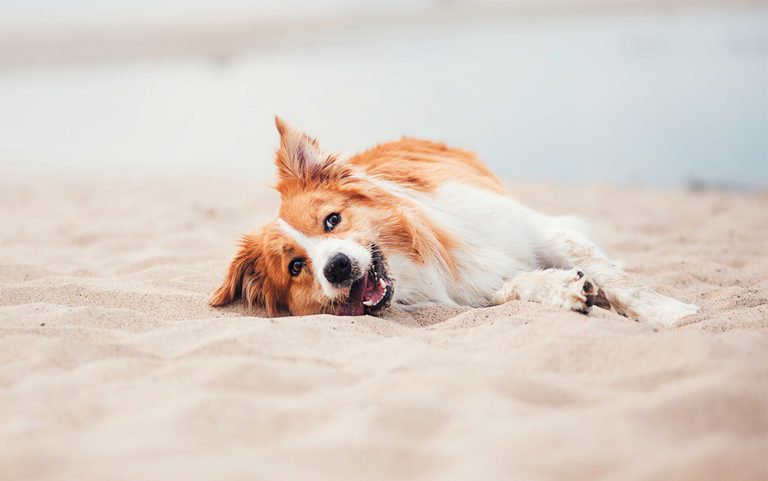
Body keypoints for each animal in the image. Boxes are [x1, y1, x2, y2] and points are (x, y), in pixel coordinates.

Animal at [210, 117, 704, 326]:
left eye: (332, 220)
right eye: (296, 267)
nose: (337, 268)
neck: (411, 266)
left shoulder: (539, 229)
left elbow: (619, 280)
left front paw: (673, 315)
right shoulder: (479, 286)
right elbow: (524, 285)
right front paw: (566, 289)